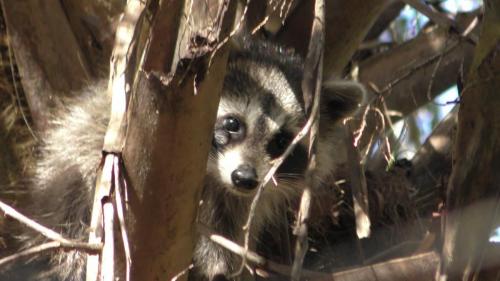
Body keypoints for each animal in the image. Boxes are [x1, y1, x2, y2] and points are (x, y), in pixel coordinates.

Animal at [9, 39, 366, 280]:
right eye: (233, 124)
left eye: (281, 142)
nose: (245, 178)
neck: (212, 173)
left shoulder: (236, 200)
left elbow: (226, 232)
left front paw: (225, 266)